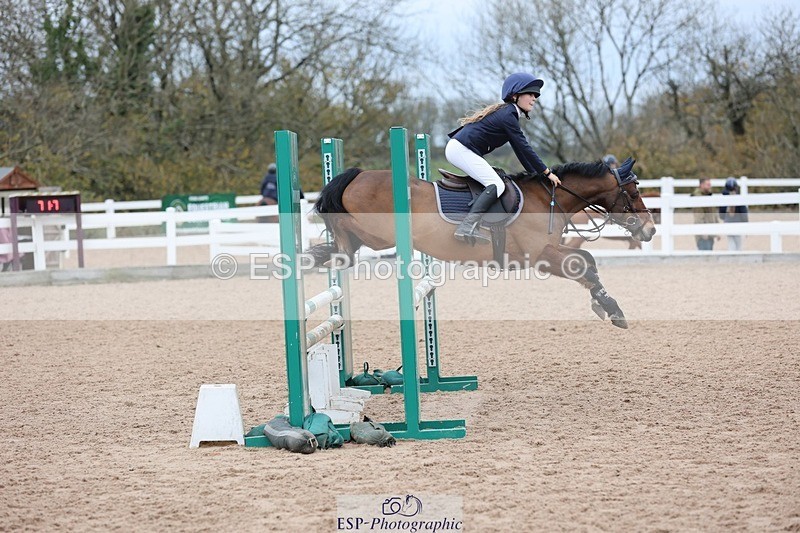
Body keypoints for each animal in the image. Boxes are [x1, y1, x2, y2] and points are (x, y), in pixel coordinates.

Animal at [307, 157, 656, 329]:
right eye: (633, 191)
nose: (650, 230)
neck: (548, 199)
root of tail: (358, 175)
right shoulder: (539, 256)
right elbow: (584, 264)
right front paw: (612, 309)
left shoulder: (550, 251)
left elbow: (588, 262)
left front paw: (603, 304)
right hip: (378, 235)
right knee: (345, 238)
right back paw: (316, 252)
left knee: (347, 251)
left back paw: (319, 254)